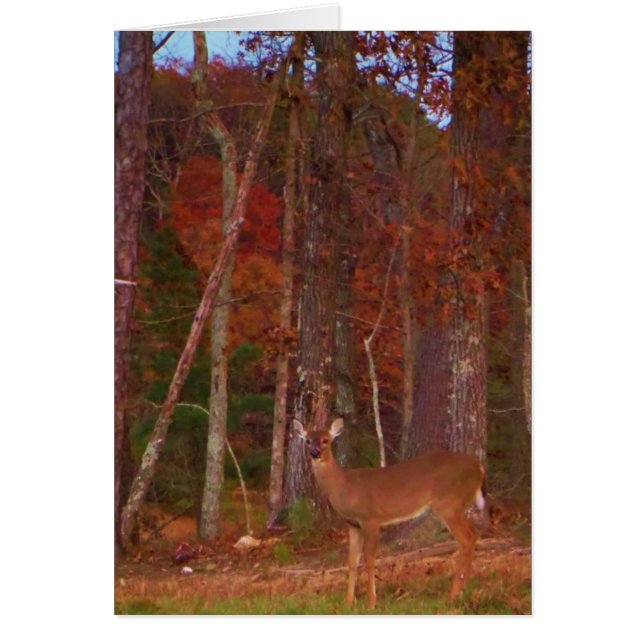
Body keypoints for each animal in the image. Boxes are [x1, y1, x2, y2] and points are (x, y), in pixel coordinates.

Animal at [293, 417, 486, 609]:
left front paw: (371, 602)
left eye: (326, 440)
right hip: (455, 505)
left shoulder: (371, 518)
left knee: (467, 538)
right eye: (307, 440)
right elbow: (352, 562)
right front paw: (348, 603)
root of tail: (480, 467)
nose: (315, 452)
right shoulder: (353, 524)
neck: (344, 486)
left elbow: (370, 559)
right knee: (474, 533)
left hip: (449, 504)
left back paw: (453, 595)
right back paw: (462, 589)